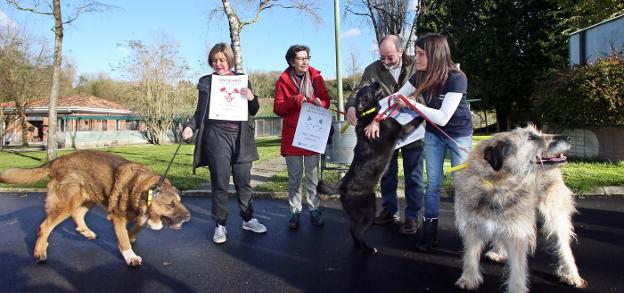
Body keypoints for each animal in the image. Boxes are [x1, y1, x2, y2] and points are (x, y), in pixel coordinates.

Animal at [0, 149, 190, 266]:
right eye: (170, 205)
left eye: (180, 201)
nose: (188, 217)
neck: (144, 189)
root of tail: (58, 160)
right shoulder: (117, 217)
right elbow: (124, 240)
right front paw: (130, 256)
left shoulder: (136, 217)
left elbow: (136, 227)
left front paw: (131, 236)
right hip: (68, 203)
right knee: (44, 227)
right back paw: (40, 253)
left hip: (89, 197)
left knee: (77, 215)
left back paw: (86, 232)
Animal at [316, 81, 420, 253]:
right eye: (369, 89)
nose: (376, 82)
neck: (367, 113)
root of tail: (342, 186)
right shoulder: (401, 129)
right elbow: (415, 121)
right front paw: (422, 114)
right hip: (368, 210)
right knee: (358, 232)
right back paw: (368, 249)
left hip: (356, 214)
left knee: (352, 230)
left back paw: (359, 246)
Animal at [450, 125, 588, 292]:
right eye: (531, 137)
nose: (567, 138)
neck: (496, 185)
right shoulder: (473, 226)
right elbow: (470, 255)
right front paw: (468, 278)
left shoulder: (518, 232)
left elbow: (517, 267)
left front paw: (516, 288)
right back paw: (499, 252)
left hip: (554, 215)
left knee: (563, 245)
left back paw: (571, 274)